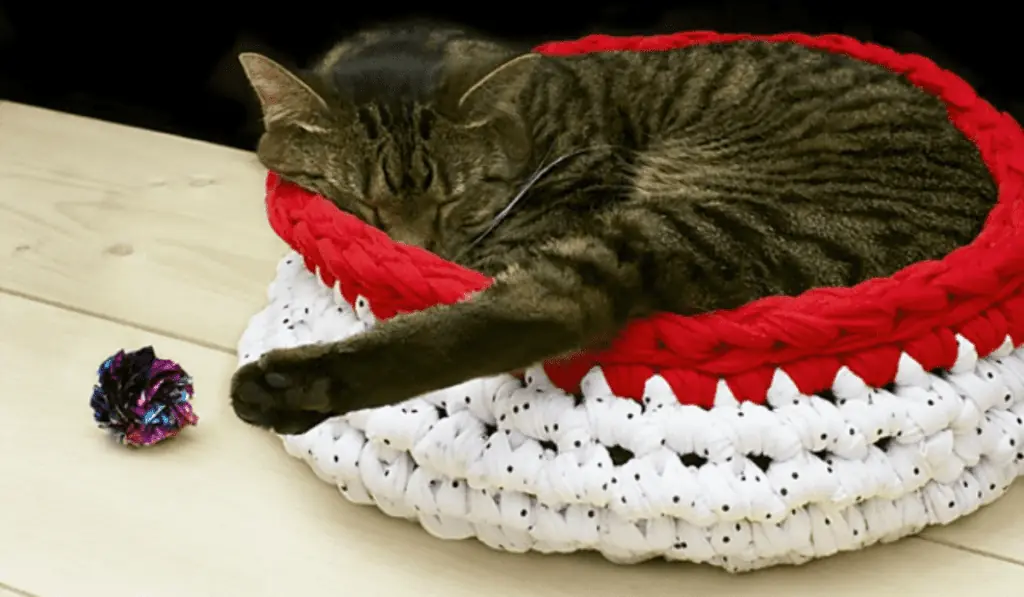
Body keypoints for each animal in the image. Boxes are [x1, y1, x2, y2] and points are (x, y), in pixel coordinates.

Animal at [228, 23, 995, 434]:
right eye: (356, 205)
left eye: (459, 200)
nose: (404, 248)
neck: (537, 118)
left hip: (700, 214)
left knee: (557, 306)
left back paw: (281, 387)